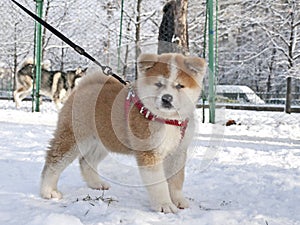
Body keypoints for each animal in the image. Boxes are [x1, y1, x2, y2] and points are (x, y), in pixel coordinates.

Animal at [40, 52, 206, 213]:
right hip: (73, 136)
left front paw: (178, 200)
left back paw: (96, 184)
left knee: (86, 161)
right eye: (158, 84)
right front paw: (164, 204)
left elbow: (176, 180)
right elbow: (159, 184)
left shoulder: (178, 151)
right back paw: (48, 191)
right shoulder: (149, 152)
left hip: (103, 141)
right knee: (54, 161)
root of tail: (83, 86)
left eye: (180, 86)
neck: (167, 120)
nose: (167, 98)